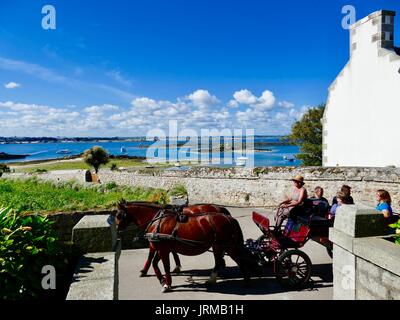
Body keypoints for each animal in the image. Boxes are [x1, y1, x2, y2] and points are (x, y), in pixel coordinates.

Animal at [111, 200, 260, 292]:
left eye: (118, 215)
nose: (117, 230)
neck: (157, 219)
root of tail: (228, 217)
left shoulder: (162, 248)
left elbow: (164, 265)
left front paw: (166, 283)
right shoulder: (161, 247)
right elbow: (154, 262)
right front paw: (161, 279)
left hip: (227, 245)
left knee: (237, 259)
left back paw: (244, 280)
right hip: (220, 245)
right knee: (222, 260)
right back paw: (216, 278)